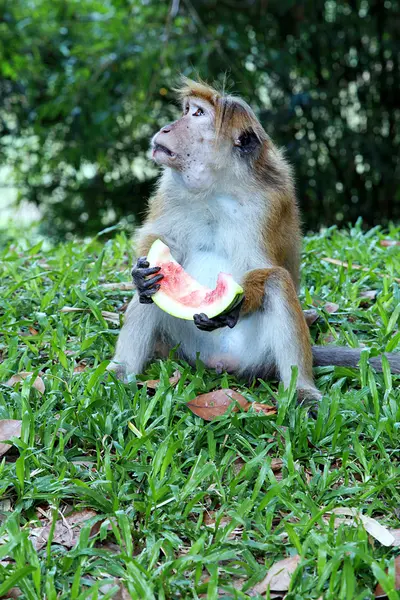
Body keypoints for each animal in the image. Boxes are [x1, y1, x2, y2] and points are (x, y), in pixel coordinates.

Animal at [108, 77, 398, 400]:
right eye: (187, 110)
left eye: (198, 114)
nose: (167, 128)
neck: (218, 186)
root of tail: (219, 363)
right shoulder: (170, 190)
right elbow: (161, 240)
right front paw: (141, 273)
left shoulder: (270, 203)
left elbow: (262, 266)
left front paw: (239, 301)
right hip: (184, 346)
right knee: (148, 298)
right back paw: (121, 373)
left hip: (257, 353)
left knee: (277, 282)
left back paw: (302, 390)